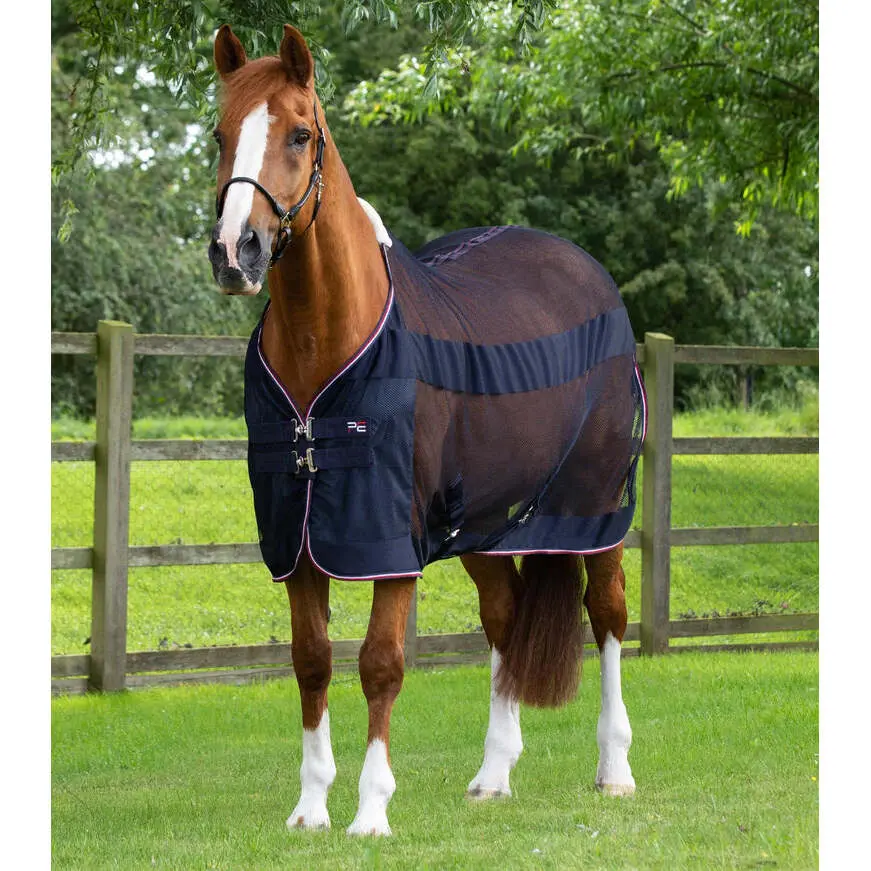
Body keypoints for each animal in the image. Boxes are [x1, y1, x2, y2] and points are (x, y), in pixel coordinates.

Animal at [207, 24, 644, 837]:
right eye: (221, 134)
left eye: (300, 133)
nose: (233, 253)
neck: (328, 346)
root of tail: (587, 271)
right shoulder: (299, 538)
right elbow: (311, 659)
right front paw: (310, 807)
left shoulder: (390, 543)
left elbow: (380, 663)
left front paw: (371, 811)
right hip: (481, 525)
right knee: (504, 617)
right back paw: (493, 775)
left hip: (596, 509)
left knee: (607, 617)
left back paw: (615, 769)